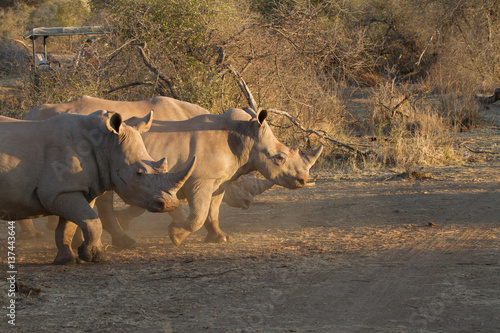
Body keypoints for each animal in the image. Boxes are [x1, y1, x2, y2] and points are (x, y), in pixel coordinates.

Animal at [0, 111, 193, 264]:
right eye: (138, 173)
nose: (170, 205)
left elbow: (71, 225)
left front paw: (68, 259)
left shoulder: (74, 189)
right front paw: (95, 257)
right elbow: (92, 222)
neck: (105, 144)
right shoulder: (58, 191)